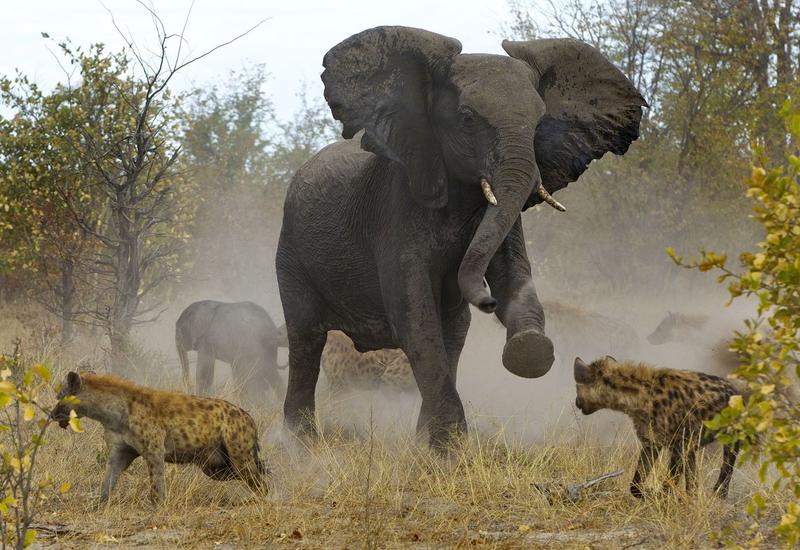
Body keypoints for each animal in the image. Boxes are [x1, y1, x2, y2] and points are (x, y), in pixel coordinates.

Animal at [278, 27, 648, 448]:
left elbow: (511, 277)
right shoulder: (394, 211)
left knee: (454, 335)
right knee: (306, 340)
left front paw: (528, 350)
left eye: (540, 123)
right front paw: (451, 449)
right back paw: (301, 444)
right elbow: (414, 317)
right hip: (290, 251)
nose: (486, 301)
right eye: (467, 119)